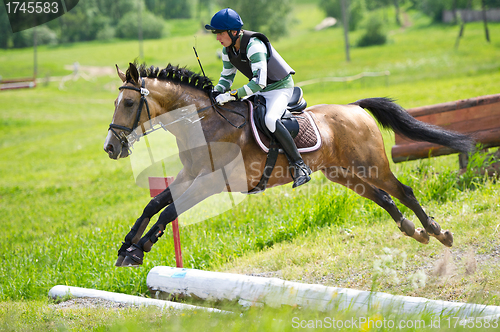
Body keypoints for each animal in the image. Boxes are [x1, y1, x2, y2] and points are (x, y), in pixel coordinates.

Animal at [104, 63, 472, 268]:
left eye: (129, 102)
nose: (110, 147)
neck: (204, 122)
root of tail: (354, 108)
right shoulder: (190, 176)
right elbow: (154, 204)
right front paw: (125, 248)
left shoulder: (211, 182)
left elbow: (169, 211)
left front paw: (139, 250)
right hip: (343, 174)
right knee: (383, 198)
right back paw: (414, 231)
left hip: (372, 166)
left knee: (404, 191)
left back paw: (439, 232)